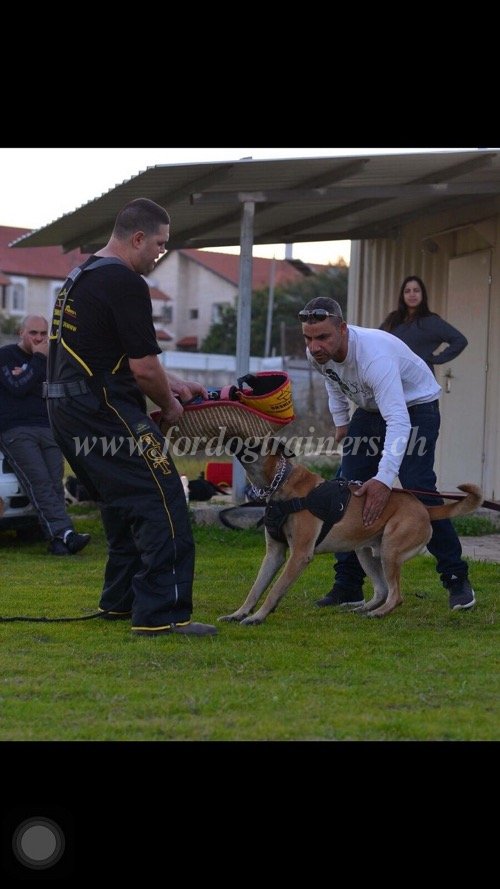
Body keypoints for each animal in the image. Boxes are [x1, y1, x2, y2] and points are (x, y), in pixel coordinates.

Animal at [217, 444, 482, 624]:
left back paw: (379, 613)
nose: (228, 440)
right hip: (365, 552)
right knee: (382, 590)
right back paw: (365, 608)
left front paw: (258, 617)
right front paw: (239, 613)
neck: (280, 485)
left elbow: (273, 590)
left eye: (252, 442)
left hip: (390, 551)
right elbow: (256, 588)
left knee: (395, 595)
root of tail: (424, 508)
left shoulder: (299, 555)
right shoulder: (274, 554)